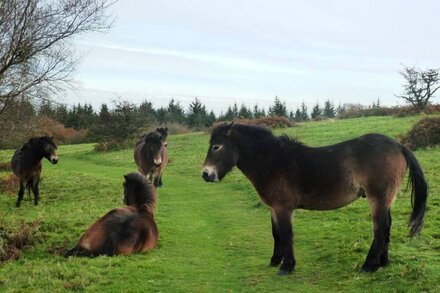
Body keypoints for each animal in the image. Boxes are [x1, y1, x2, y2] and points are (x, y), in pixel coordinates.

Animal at [202, 122, 426, 274]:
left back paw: (368, 266)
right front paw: (275, 260)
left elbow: (287, 234)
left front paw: (287, 266)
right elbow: (276, 234)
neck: (273, 161)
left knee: (380, 229)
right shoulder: (273, 208)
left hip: (377, 198)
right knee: (387, 227)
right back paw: (382, 263)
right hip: (385, 199)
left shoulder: (283, 208)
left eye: (216, 147)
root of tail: (398, 146)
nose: (205, 174)